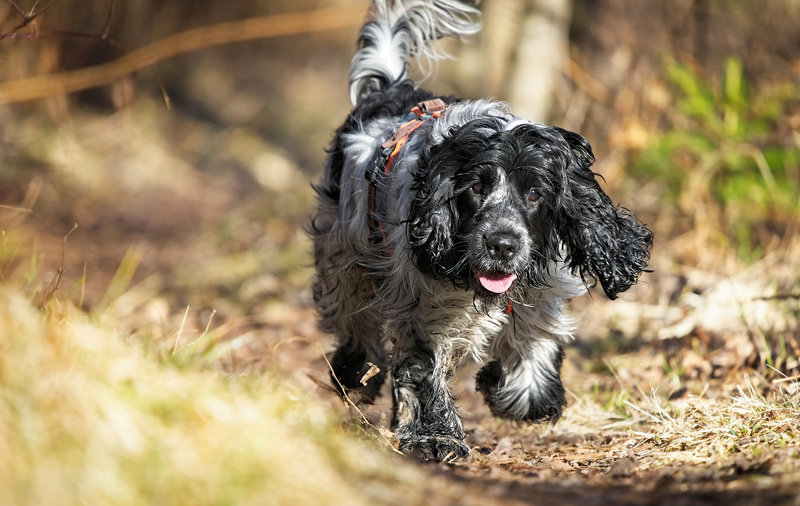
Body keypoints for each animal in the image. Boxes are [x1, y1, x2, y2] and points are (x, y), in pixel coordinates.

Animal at [310, 0, 652, 462]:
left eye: (534, 192)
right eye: (475, 188)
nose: (502, 245)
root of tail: (391, 88)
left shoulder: (543, 288)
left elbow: (534, 337)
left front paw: (524, 395)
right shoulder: (418, 303)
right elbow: (422, 370)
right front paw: (435, 437)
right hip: (344, 252)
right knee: (353, 320)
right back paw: (354, 373)